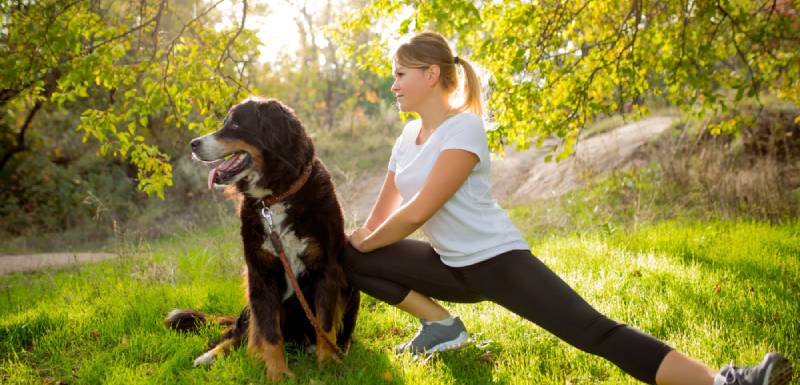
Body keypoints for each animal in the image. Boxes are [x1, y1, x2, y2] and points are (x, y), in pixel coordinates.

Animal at [167, 97, 360, 380]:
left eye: (236, 124)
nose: (194, 143)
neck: (275, 198)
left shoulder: (327, 268)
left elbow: (324, 323)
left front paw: (328, 365)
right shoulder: (260, 273)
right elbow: (268, 333)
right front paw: (278, 374)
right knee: (238, 334)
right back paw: (211, 355)